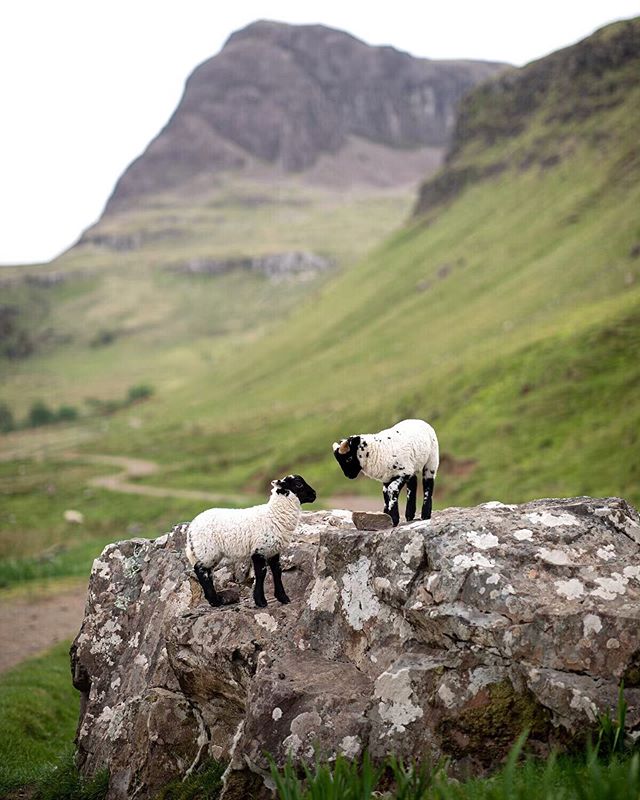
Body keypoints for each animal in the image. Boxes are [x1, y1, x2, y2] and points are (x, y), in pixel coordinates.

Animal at [184, 476, 316, 608]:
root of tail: (191, 528)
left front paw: (283, 598)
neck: (274, 514)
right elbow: (261, 574)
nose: (314, 494)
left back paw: (215, 599)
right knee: (199, 569)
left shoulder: (273, 550)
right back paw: (214, 600)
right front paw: (260, 601)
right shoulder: (258, 550)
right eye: (298, 484)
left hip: (210, 553)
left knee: (207, 572)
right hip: (207, 550)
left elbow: (277, 572)